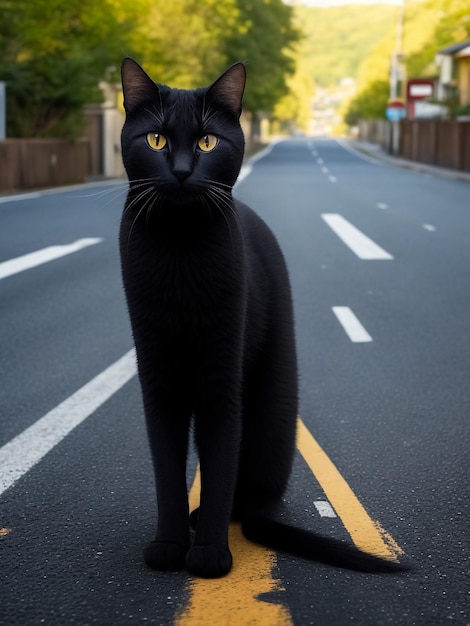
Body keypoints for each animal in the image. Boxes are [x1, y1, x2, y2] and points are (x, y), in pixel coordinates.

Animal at [118, 58, 404, 576]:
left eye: (208, 142)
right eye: (157, 140)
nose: (182, 171)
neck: (180, 251)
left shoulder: (222, 378)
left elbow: (219, 464)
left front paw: (210, 556)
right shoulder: (158, 376)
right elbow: (167, 469)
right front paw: (169, 545)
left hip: (271, 411)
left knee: (249, 489)